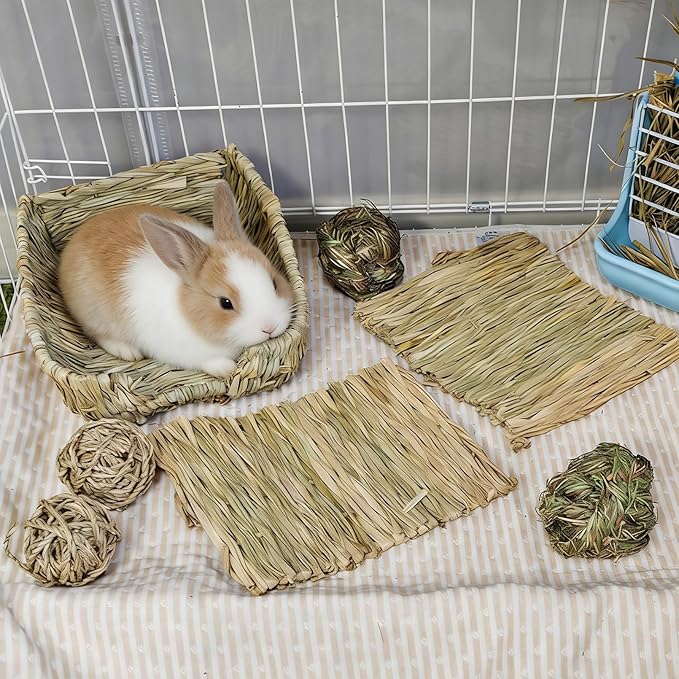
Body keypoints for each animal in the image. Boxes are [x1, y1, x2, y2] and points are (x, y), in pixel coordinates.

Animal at [58, 180, 293, 378]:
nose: (269, 328)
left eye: (274, 283)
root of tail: (71, 246)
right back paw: (128, 351)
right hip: (95, 315)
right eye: (225, 303)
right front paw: (227, 368)